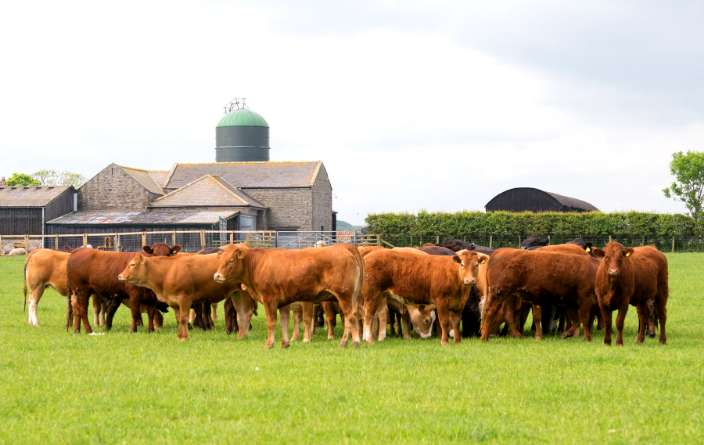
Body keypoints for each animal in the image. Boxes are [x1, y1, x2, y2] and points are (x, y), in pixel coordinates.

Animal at [213, 243, 364, 346]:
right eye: (221, 260)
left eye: (231, 260)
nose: (217, 276)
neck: (257, 264)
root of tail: (344, 247)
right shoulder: (283, 302)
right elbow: (284, 321)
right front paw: (285, 343)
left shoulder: (269, 299)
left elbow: (271, 321)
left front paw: (269, 344)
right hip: (351, 297)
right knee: (352, 316)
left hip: (344, 296)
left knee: (350, 316)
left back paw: (350, 342)